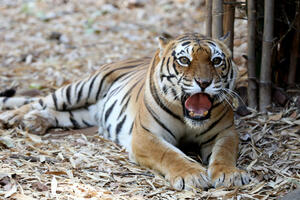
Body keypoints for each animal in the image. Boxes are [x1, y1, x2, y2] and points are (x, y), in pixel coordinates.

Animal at [0, 32, 248, 191]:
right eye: (184, 60)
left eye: (216, 60)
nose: (204, 83)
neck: (189, 121)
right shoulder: (146, 136)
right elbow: (170, 154)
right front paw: (193, 175)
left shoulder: (225, 132)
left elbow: (224, 153)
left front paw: (231, 174)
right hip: (83, 87)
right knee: (42, 100)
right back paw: (14, 117)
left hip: (85, 114)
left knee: (60, 114)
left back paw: (35, 121)